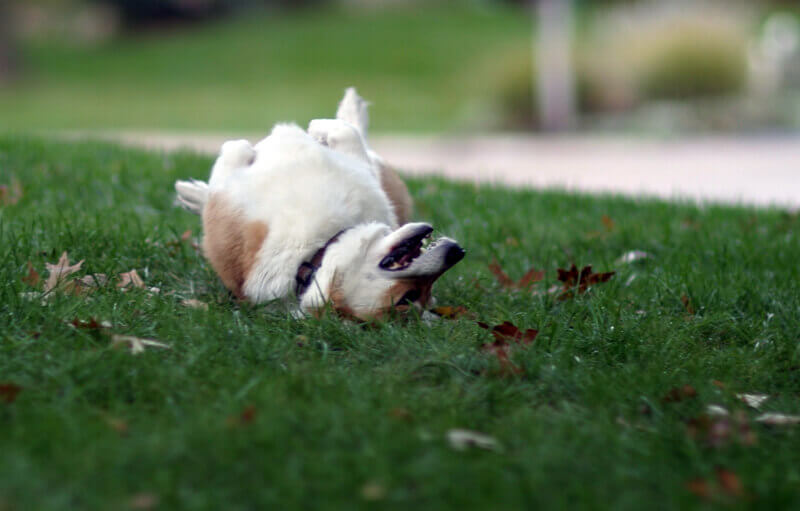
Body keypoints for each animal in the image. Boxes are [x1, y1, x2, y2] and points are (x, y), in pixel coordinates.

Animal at [175, 88, 462, 320]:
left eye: (410, 296)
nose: (457, 252)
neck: (316, 249)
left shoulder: (224, 204)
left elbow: (233, 153)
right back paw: (192, 192)